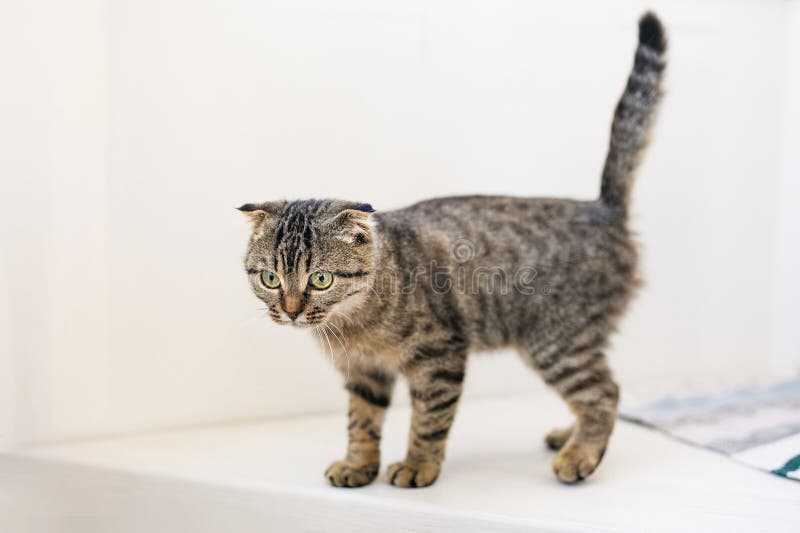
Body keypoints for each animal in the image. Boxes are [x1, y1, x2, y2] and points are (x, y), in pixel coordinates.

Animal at [241, 12, 664, 486]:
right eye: (271, 278)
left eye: (320, 278)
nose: (291, 310)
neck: (354, 322)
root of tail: (601, 207)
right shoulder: (365, 372)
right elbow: (361, 421)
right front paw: (358, 464)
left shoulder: (439, 356)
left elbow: (428, 420)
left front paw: (417, 466)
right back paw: (568, 437)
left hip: (557, 339)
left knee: (605, 392)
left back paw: (581, 455)